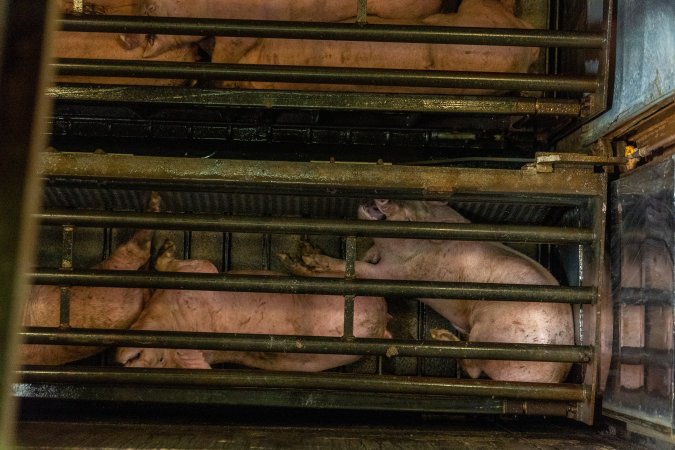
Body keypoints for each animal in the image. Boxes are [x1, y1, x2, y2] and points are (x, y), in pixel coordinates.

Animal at [117, 239, 390, 370]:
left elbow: (181, 264)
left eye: (161, 360)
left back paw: (297, 259)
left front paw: (166, 246)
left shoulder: (195, 275)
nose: (124, 361)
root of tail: (384, 323)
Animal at [280, 200, 576, 384]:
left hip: (492, 334)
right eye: (418, 203)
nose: (387, 198)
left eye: (411, 219)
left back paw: (441, 336)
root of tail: (552, 376)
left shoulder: (398, 274)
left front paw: (300, 261)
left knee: (473, 369)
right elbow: (368, 255)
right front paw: (303, 251)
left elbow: (361, 270)